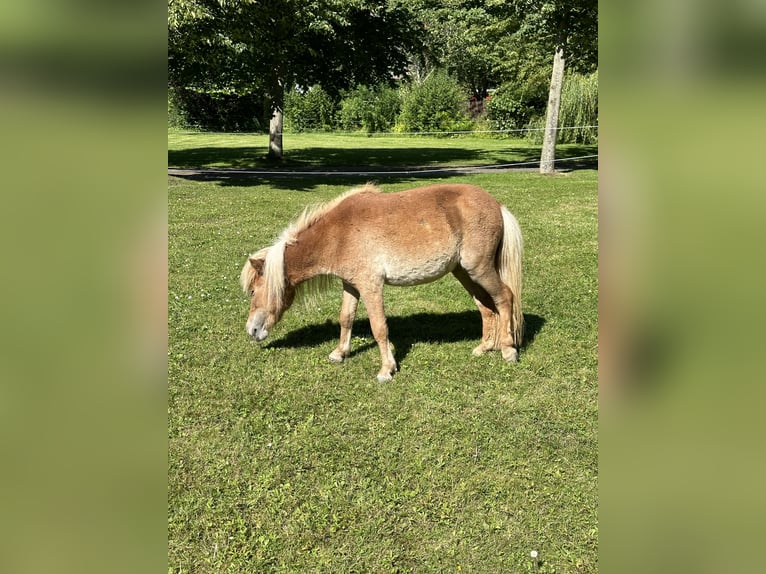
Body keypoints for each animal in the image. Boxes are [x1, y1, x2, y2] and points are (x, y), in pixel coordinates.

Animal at [243, 184, 524, 382]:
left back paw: (508, 350)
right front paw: (339, 353)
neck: (338, 233)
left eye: (254, 291)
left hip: (480, 269)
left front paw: (386, 370)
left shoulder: (371, 286)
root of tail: (496, 205)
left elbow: (379, 327)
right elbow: (346, 318)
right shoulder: (351, 285)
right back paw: (484, 347)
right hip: (465, 272)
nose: (252, 331)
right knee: (486, 306)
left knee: (504, 298)